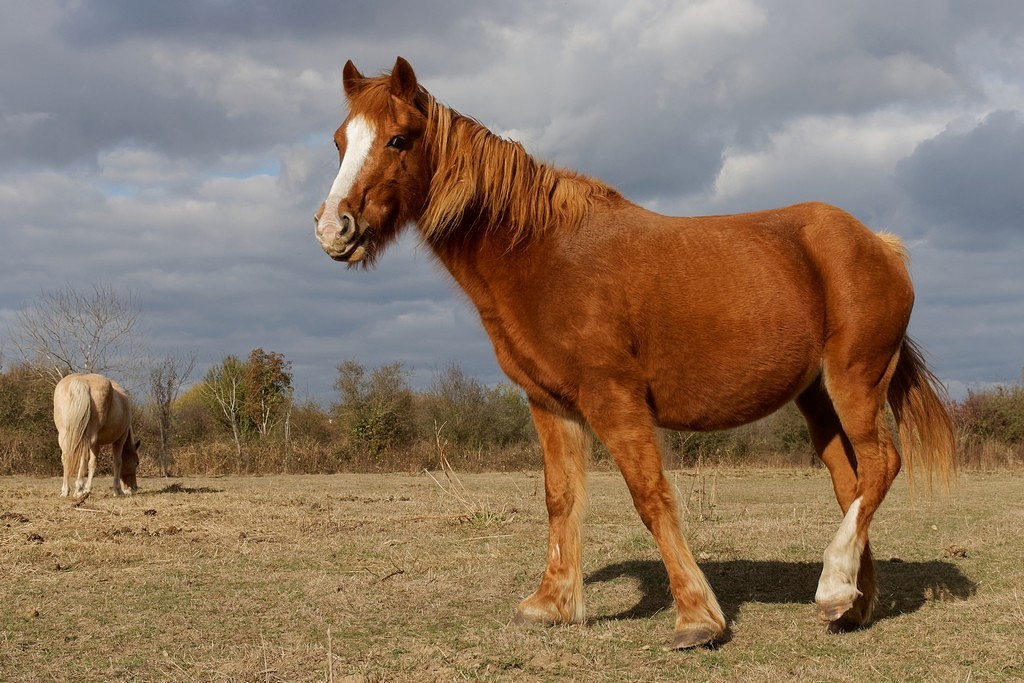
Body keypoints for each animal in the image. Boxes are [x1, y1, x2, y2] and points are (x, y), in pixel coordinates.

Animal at [313, 57, 957, 649]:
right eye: (341, 140)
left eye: (398, 138)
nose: (332, 229)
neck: (541, 254)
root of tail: (879, 245)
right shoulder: (551, 403)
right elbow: (560, 497)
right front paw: (551, 604)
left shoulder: (613, 398)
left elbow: (650, 497)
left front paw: (696, 618)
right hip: (817, 398)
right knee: (852, 481)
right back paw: (850, 604)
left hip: (855, 381)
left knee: (881, 465)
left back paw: (833, 585)